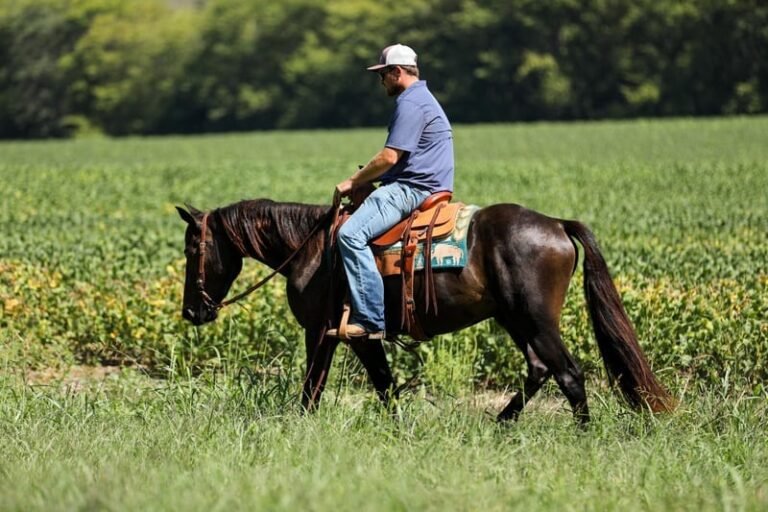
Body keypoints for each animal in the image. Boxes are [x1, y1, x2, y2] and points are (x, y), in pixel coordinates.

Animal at [176, 199, 674, 423]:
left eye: (192, 249)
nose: (192, 313)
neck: (309, 249)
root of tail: (555, 224)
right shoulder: (360, 336)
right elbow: (384, 385)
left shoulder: (319, 331)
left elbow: (312, 388)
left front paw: (299, 426)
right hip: (513, 319)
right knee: (539, 369)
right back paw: (502, 422)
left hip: (535, 319)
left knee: (569, 373)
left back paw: (580, 433)